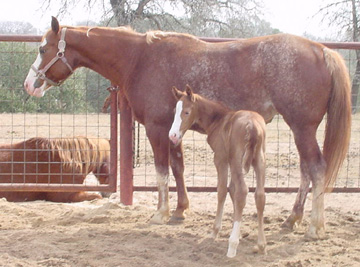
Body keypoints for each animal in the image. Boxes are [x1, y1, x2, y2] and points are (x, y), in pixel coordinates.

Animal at [23, 16, 350, 239]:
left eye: (43, 48)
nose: (29, 84)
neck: (140, 59)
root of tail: (322, 51)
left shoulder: (156, 128)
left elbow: (162, 171)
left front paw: (161, 212)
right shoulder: (173, 130)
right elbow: (178, 168)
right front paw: (180, 210)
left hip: (302, 128)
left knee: (316, 169)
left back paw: (314, 226)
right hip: (300, 130)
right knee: (307, 172)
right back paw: (292, 219)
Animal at [169, 85, 268, 258]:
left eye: (186, 112)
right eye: (175, 111)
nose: (173, 136)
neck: (219, 120)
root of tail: (253, 126)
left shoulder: (221, 158)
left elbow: (222, 190)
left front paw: (215, 232)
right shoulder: (229, 160)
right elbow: (232, 190)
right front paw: (238, 230)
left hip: (237, 160)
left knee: (242, 191)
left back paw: (232, 247)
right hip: (259, 160)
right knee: (259, 195)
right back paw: (261, 245)